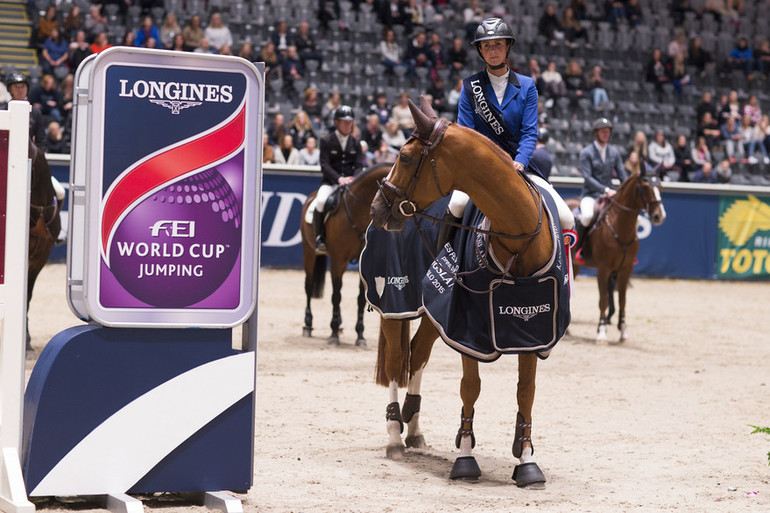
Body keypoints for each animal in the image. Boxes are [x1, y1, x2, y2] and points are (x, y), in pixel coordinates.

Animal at [300, 163, 390, 348]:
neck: (357, 212)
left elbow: (361, 299)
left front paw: (360, 335)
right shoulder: (338, 260)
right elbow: (336, 296)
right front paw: (333, 334)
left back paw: (340, 326)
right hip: (309, 252)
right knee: (308, 286)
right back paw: (308, 324)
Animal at [366, 98, 560, 486]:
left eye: (405, 157)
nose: (378, 208)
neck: (518, 243)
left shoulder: (534, 328)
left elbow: (526, 393)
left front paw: (527, 460)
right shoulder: (467, 329)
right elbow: (470, 387)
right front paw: (466, 459)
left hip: (430, 313)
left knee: (417, 355)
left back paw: (413, 427)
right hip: (395, 302)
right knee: (396, 362)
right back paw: (395, 434)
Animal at [564, 170, 664, 342]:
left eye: (660, 186)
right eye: (645, 187)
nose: (659, 216)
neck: (619, 225)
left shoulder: (626, 270)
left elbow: (623, 300)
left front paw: (623, 331)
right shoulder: (603, 270)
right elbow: (603, 300)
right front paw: (601, 332)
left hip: (574, 266)